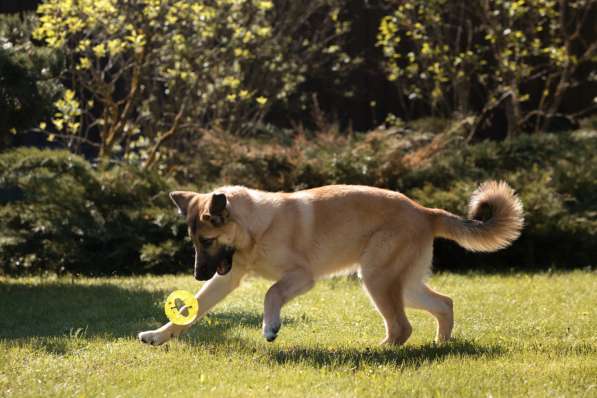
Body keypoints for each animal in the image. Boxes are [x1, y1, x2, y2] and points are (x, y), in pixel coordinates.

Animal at [139, 181, 520, 346]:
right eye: (194, 242)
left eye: (207, 241)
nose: (197, 273)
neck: (256, 227)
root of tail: (425, 211)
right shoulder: (226, 278)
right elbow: (189, 312)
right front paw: (158, 336)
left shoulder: (301, 277)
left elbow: (270, 294)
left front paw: (270, 327)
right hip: (403, 284)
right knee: (443, 304)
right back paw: (442, 344)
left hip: (378, 280)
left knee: (402, 327)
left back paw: (379, 353)